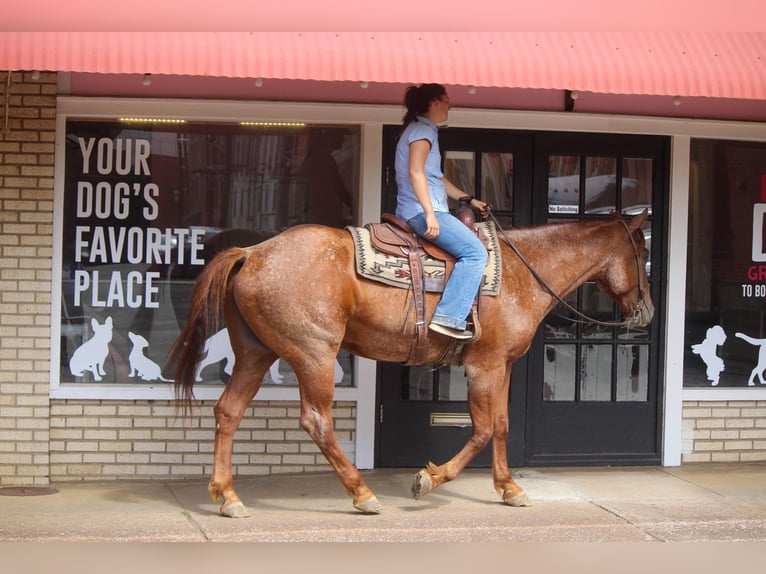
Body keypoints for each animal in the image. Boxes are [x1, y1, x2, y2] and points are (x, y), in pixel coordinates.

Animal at [168, 209, 656, 520]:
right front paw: (430, 478)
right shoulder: (483, 366)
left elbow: (500, 426)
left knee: (228, 412)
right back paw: (362, 493)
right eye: (643, 255)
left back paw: (228, 496)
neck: (521, 272)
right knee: (316, 420)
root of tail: (252, 252)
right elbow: (481, 430)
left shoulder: (503, 366)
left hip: (255, 353)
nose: (648, 312)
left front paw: (509, 488)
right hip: (314, 353)